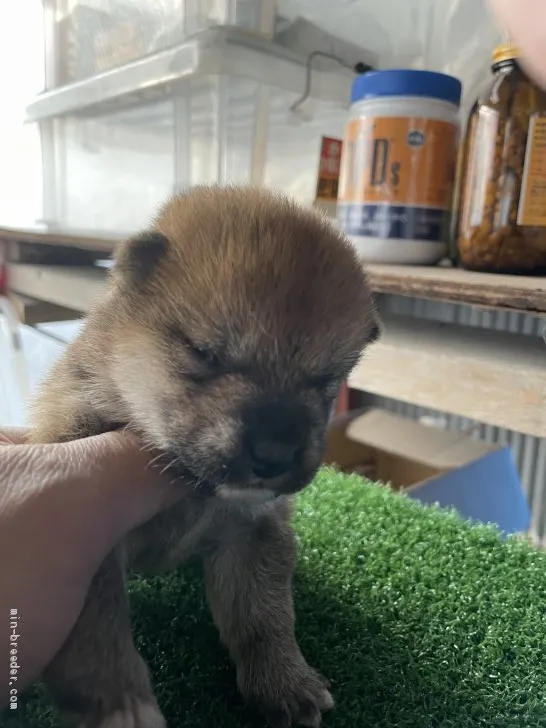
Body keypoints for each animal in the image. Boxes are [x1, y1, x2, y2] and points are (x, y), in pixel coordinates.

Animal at [28, 186, 378, 728]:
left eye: (325, 380)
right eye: (205, 352)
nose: (274, 455)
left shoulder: (254, 531)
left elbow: (263, 615)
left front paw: (285, 681)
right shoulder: (88, 538)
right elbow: (99, 628)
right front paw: (119, 702)